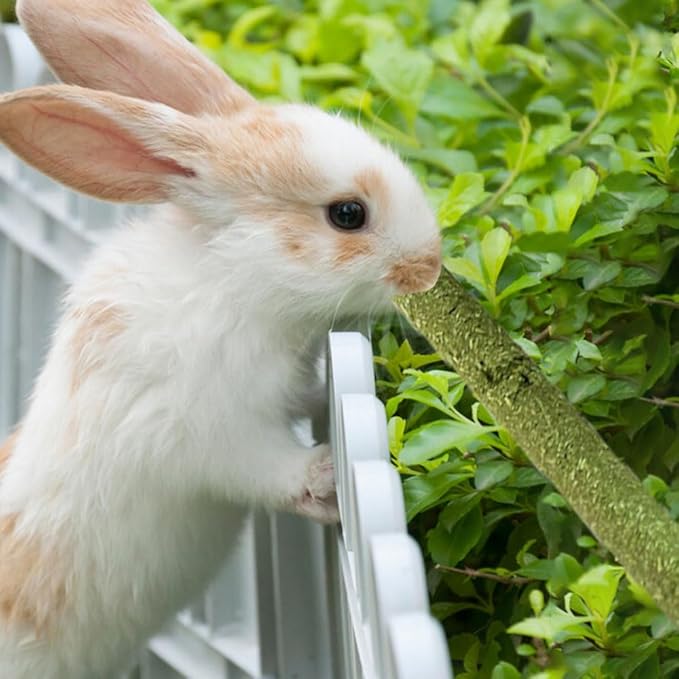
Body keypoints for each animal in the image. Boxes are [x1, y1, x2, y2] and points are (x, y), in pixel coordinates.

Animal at [0, 0, 442, 676]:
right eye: (348, 214)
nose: (430, 266)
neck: (235, 283)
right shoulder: (208, 434)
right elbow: (270, 470)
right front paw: (327, 478)